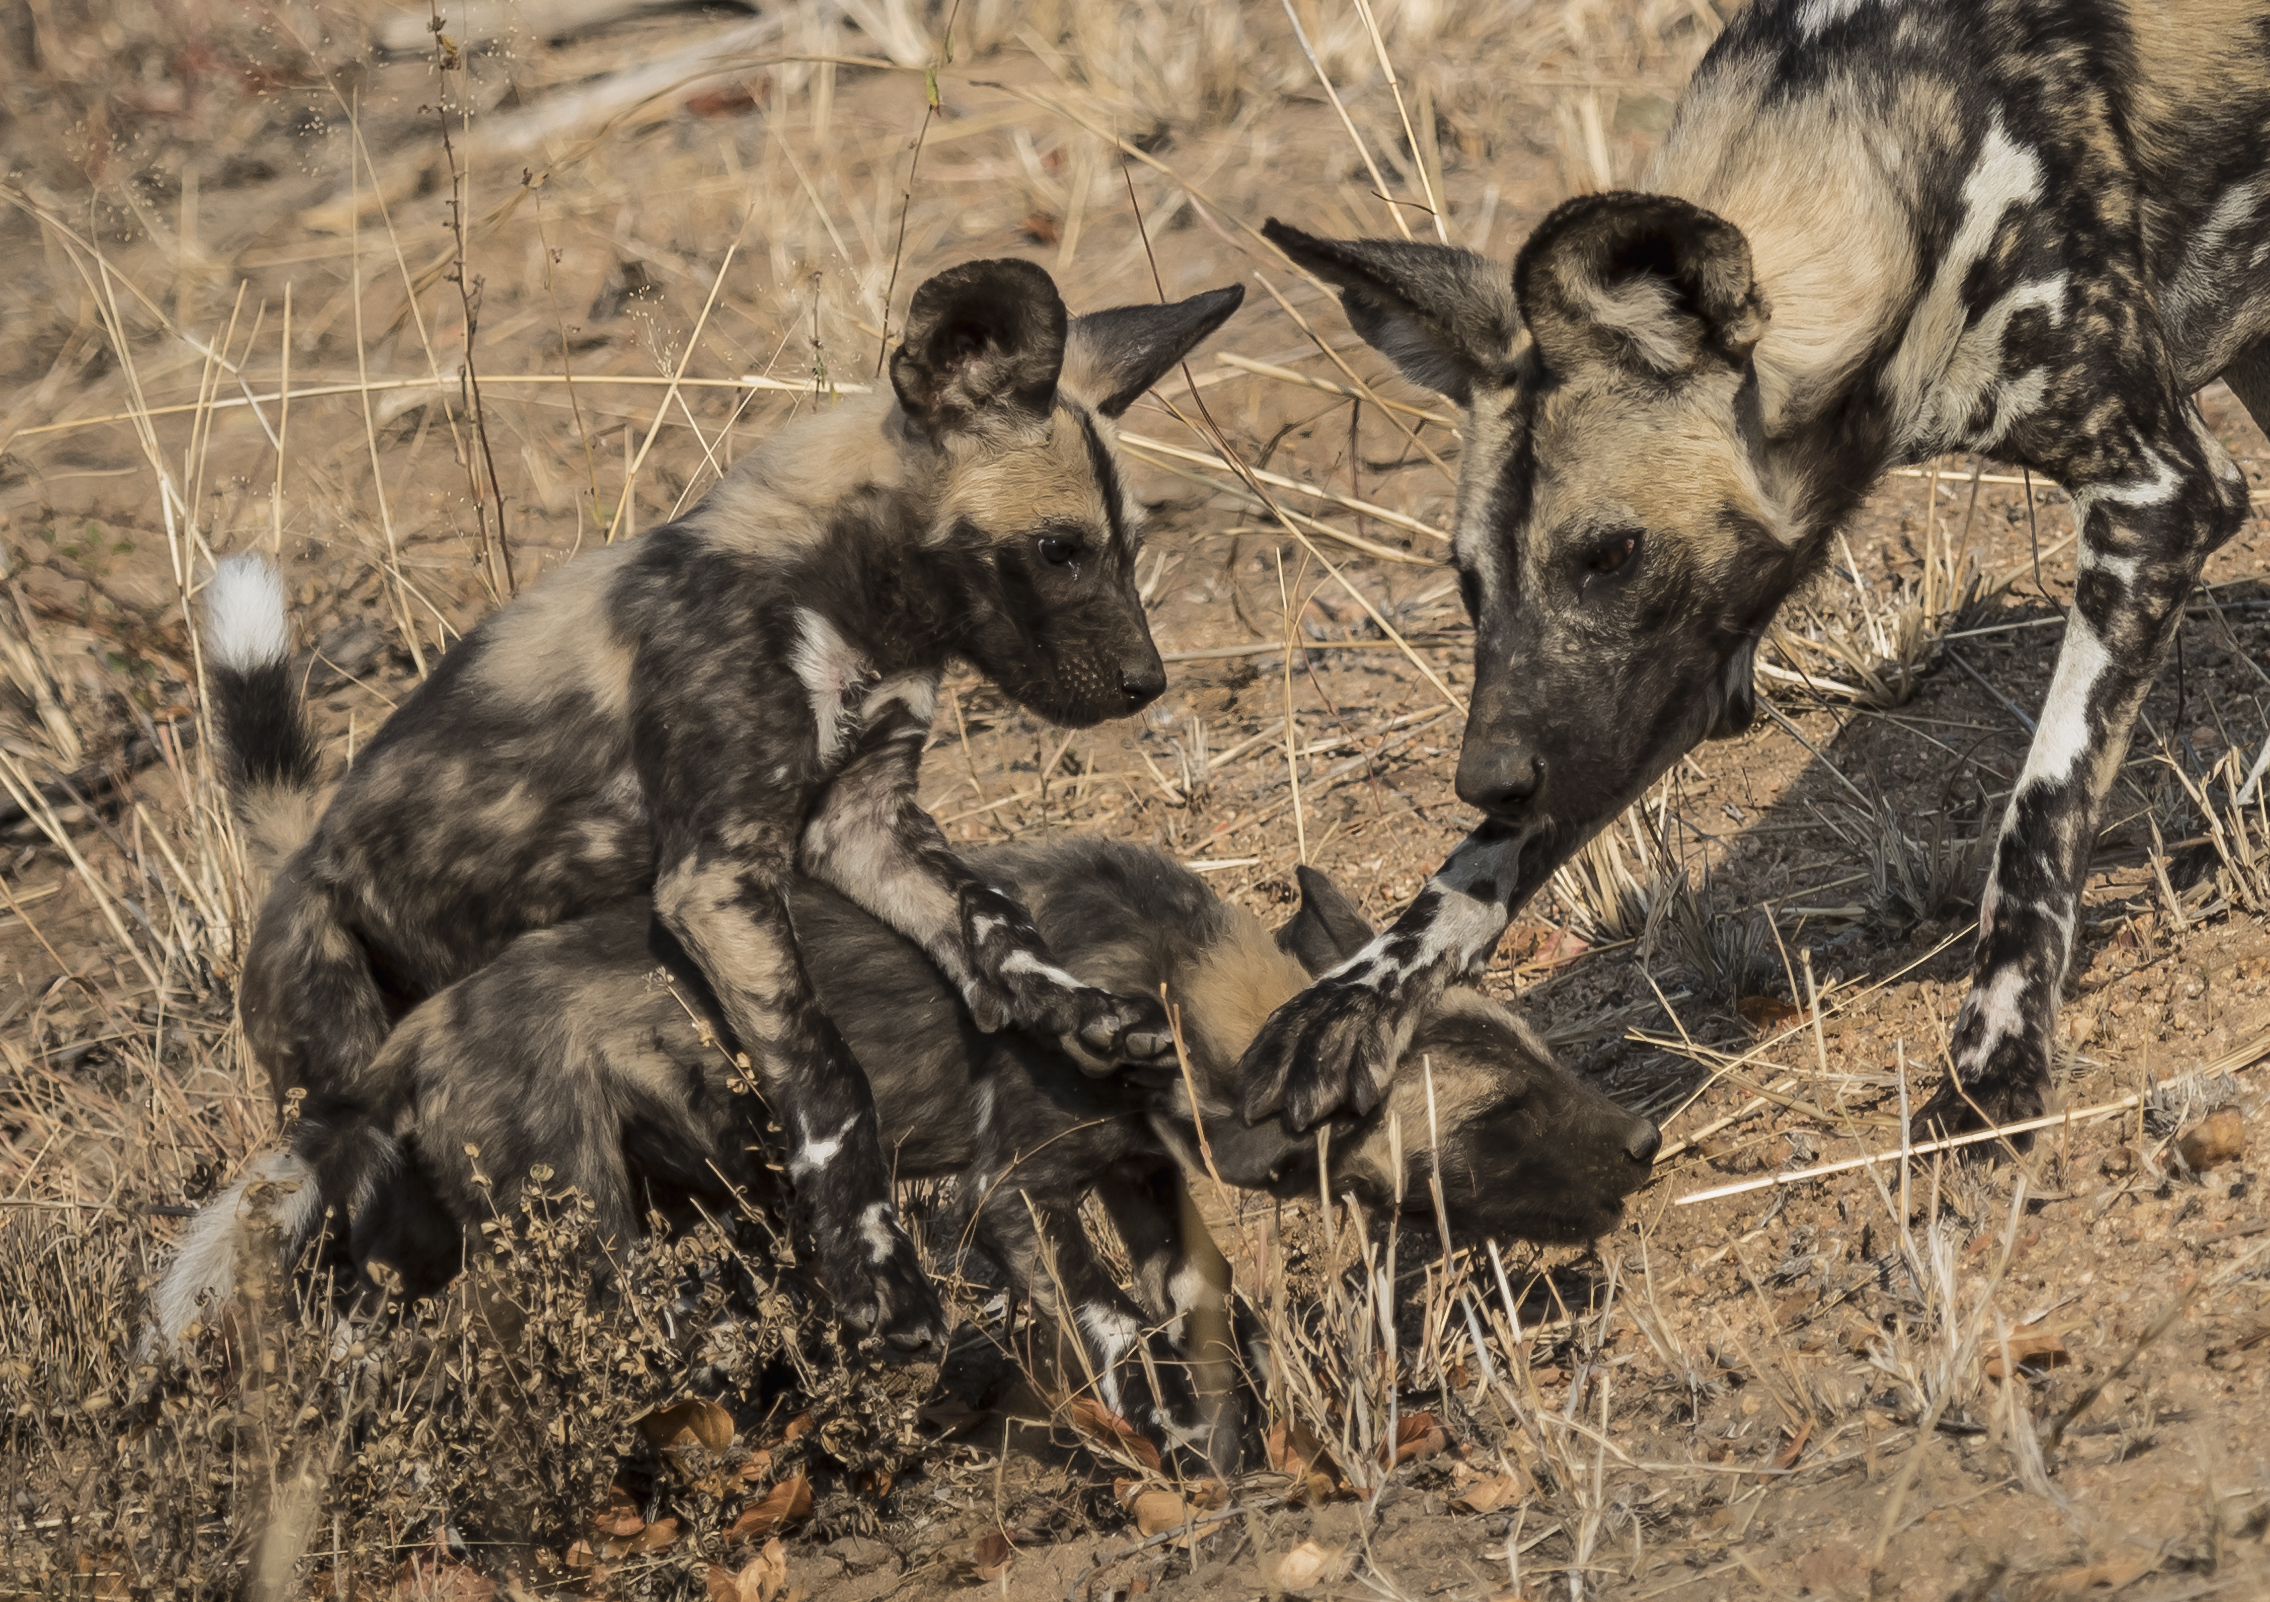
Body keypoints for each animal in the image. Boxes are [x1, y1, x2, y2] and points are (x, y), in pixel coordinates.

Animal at [160, 262, 1253, 1343]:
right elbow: (828, 1073)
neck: (838, 589)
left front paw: (1084, 1014)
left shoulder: (866, 825)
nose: (1145, 684)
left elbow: (991, 918)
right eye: (1061, 549)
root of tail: (301, 855)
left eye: (1128, 546)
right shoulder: (718, 876)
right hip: (357, 1106)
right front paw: (876, 1272)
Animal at [1253, 0, 2270, 1143]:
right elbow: (1477, 862)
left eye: (1608, 555)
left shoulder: (2158, 494)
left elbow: (2037, 814)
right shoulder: (1663, 677)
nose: (1483, 776)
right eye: (1468, 584)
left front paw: (1996, 1054)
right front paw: (1357, 994)